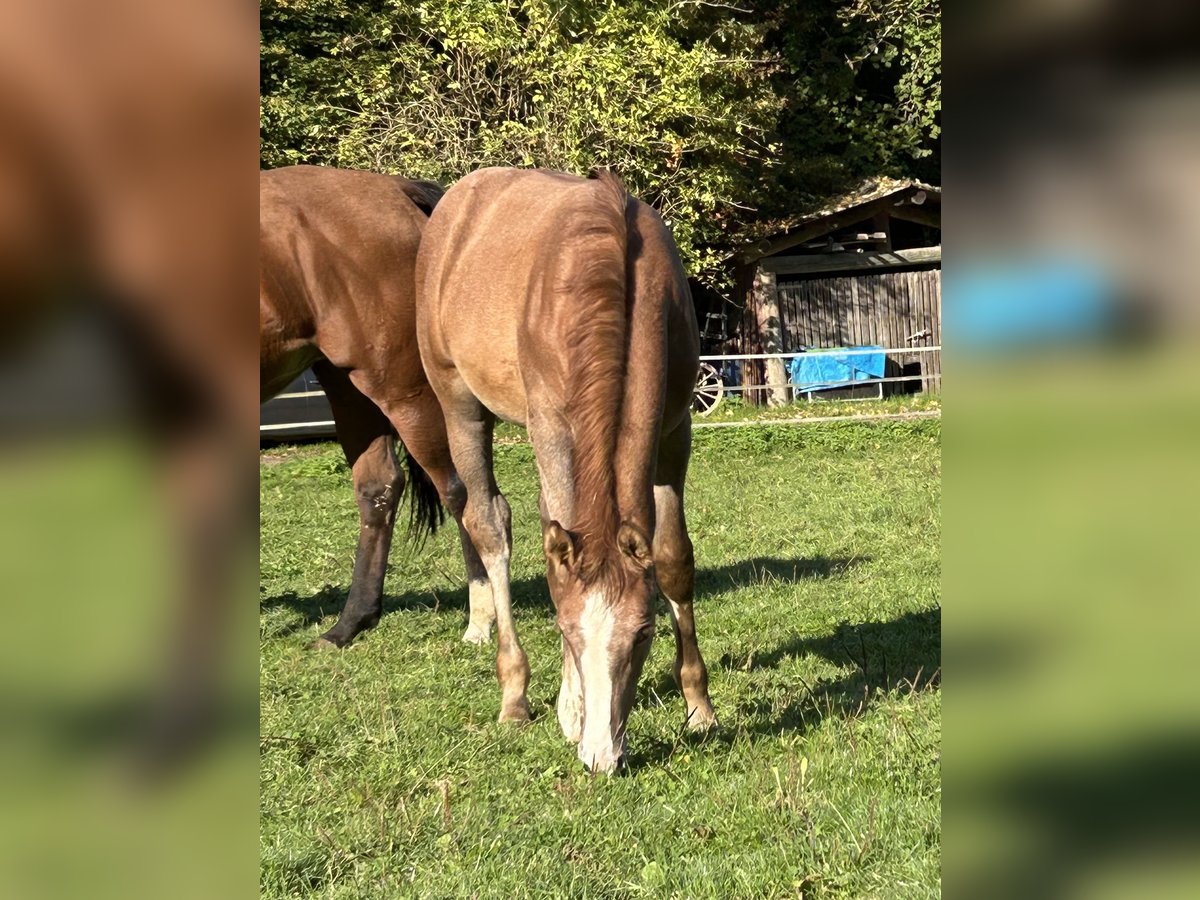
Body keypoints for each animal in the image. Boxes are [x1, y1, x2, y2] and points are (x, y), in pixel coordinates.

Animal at [260, 166, 496, 648]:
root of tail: (395, 190)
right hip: (348, 386)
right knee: (380, 487)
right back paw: (349, 624)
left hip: (400, 389)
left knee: (461, 491)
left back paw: (481, 619)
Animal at [415, 167, 717, 773]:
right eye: (566, 630)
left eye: (643, 635)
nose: (602, 756)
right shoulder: (551, 427)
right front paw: (572, 709)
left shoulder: (674, 431)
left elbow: (674, 559)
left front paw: (699, 705)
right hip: (458, 402)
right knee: (489, 525)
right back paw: (515, 692)